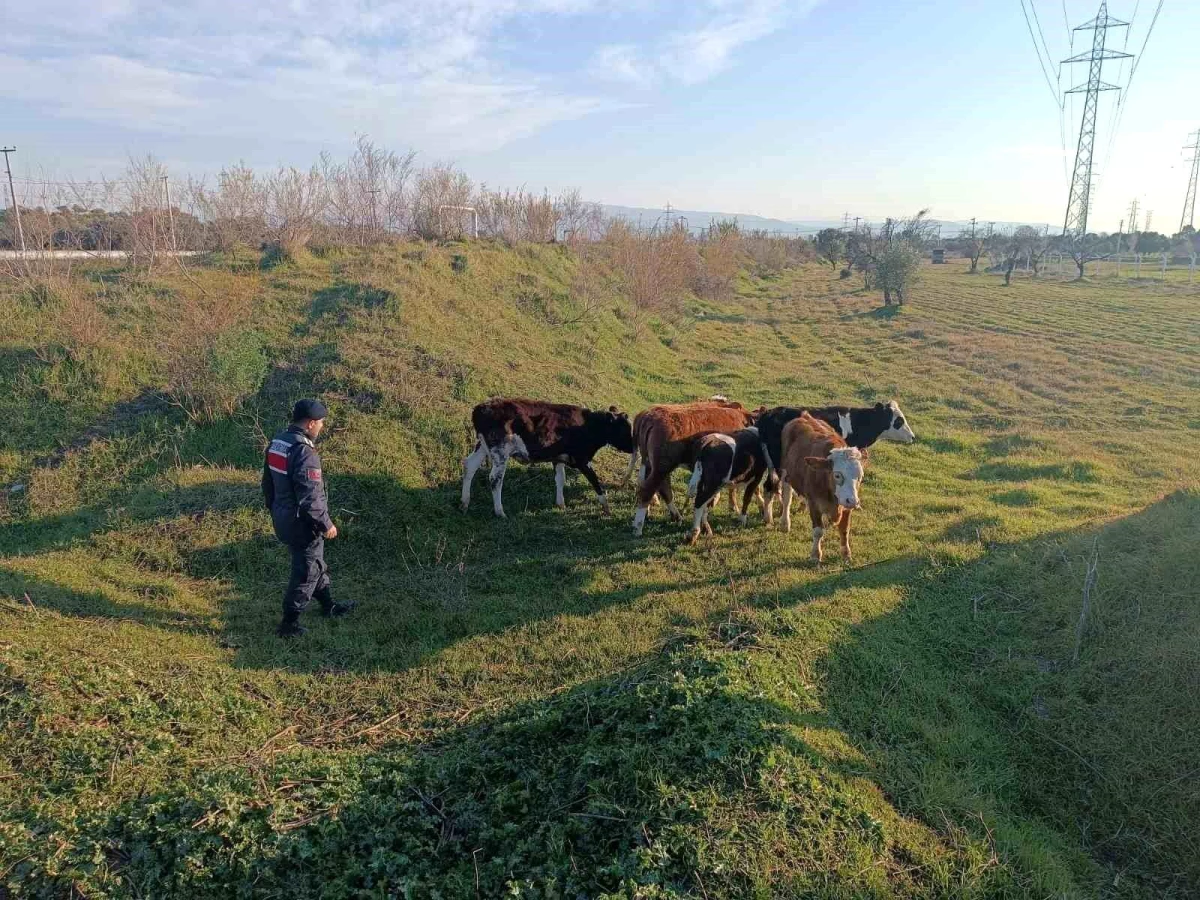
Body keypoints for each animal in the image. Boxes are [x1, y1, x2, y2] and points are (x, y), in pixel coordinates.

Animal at [456, 398, 633, 518]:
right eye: (623, 428)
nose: (633, 447)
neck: (587, 426)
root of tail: (482, 407)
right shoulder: (582, 460)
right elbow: (595, 481)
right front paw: (606, 508)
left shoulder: (558, 458)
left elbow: (560, 479)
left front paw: (561, 504)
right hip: (500, 451)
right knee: (495, 479)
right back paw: (500, 512)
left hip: (483, 446)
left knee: (469, 465)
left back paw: (464, 503)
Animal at [624, 400, 753, 540]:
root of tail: (647, 416)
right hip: (661, 468)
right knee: (649, 490)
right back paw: (638, 527)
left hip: (652, 464)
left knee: (659, 488)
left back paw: (674, 516)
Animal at [772, 415, 868, 564]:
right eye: (837, 475)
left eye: (860, 476)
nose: (853, 501)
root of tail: (804, 416)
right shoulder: (814, 504)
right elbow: (818, 531)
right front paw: (815, 555)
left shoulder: (846, 506)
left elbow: (844, 530)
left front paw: (846, 553)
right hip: (786, 473)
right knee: (787, 498)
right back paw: (785, 523)